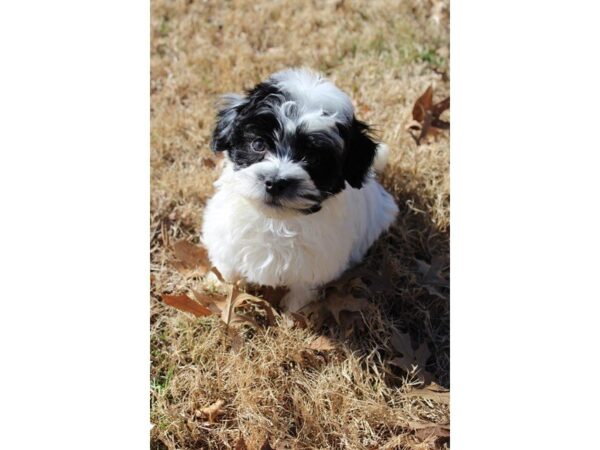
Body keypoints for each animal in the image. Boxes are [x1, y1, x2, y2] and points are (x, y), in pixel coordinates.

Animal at [202, 68, 398, 312]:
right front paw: (217, 285)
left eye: (313, 158)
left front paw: (294, 312)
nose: (275, 182)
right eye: (258, 144)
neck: (276, 221)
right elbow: (227, 266)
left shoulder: (317, 263)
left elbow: (303, 288)